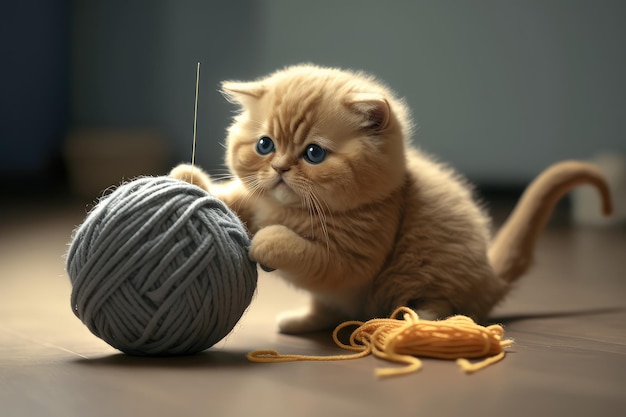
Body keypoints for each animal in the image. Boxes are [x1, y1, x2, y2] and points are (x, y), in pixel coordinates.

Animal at [169, 63, 608, 334]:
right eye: (264, 145)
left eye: (314, 154)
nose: (279, 168)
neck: (286, 208)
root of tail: (490, 276)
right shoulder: (257, 200)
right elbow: (235, 198)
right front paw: (187, 177)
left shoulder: (353, 259)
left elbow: (298, 249)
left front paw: (268, 240)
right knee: (327, 310)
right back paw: (299, 321)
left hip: (428, 273)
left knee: (446, 306)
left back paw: (417, 321)